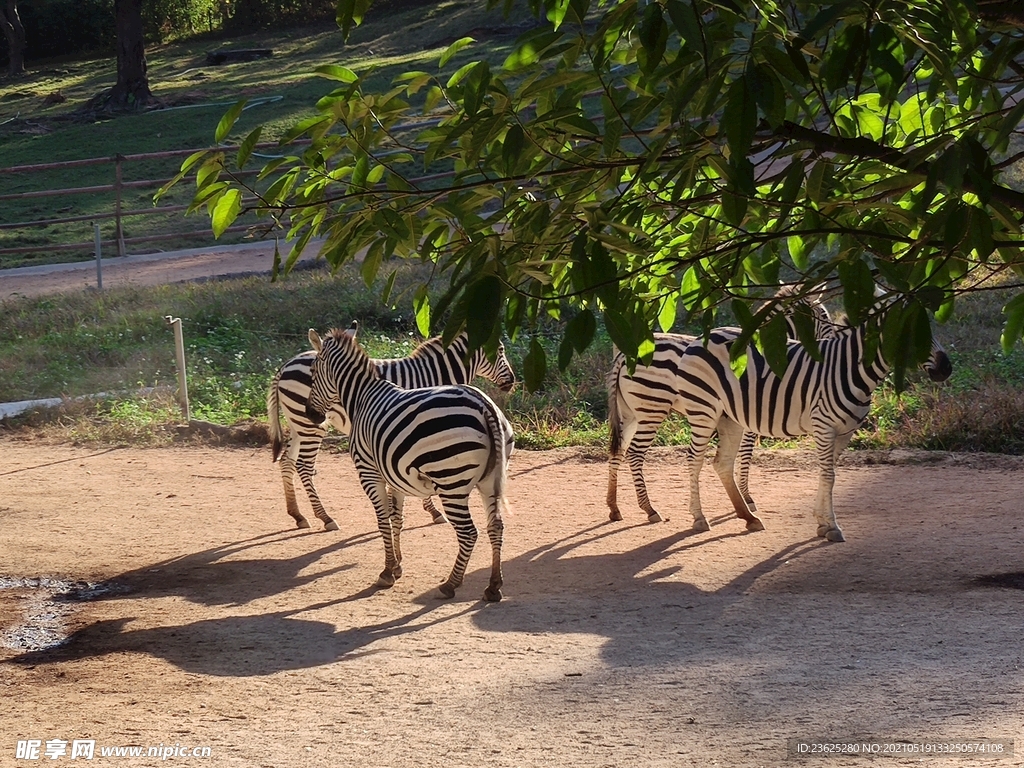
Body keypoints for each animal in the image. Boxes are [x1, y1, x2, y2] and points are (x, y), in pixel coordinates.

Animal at [268, 327, 516, 532]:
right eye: (501, 350)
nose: (513, 381)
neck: (435, 373)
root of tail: (285, 365)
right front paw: (432, 510)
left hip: (299, 423)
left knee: (287, 462)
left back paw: (298, 515)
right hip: (310, 424)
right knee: (303, 466)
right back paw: (325, 517)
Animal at [301, 327, 512, 606]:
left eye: (314, 373)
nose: (312, 415)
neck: (361, 396)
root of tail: (483, 405)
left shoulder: (369, 473)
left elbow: (382, 521)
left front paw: (387, 571)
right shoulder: (395, 476)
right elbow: (396, 519)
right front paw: (398, 564)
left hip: (451, 483)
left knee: (468, 533)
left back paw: (450, 584)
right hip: (490, 481)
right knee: (495, 526)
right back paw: (494, 586)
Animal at [602, 286, 835, 528]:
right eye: (824, 315)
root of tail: (623, 356)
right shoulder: (750, 414)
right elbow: (745, 454)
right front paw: (747, 498)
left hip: (629, 413)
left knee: (617, 451)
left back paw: (614, 508)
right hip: (652, 408)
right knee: (635, 453)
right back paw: (649, 509)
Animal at [679, 294, 950, 540]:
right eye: (907, 328)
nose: (946, 369)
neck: (851, 368)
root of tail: (701, 337)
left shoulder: (845, 431)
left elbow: (827, 473)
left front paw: (822, 522)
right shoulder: (824, 426)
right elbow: (829, 475)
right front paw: (832, 526)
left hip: (730, 417)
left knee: (722, 463)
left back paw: (749, 517)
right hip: (703, 409)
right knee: (695, 459)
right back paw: (699, 518)